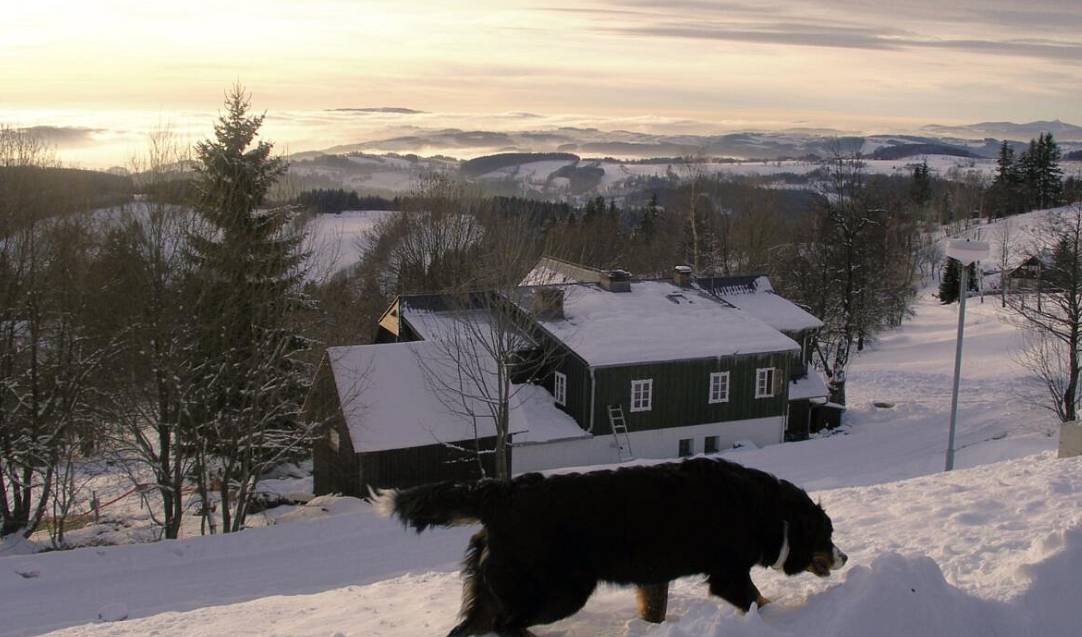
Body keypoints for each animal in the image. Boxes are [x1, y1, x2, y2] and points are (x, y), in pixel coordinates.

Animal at [372, 456, 843, 635]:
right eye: (828, 534)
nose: (844, 556)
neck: (768, 510)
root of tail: (500, 495)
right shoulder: (728, 575)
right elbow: (760, 600)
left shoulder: (654, 577)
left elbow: (654, 610)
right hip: (558, 591)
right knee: (508, 626)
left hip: (493, 591)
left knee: (472, 628)